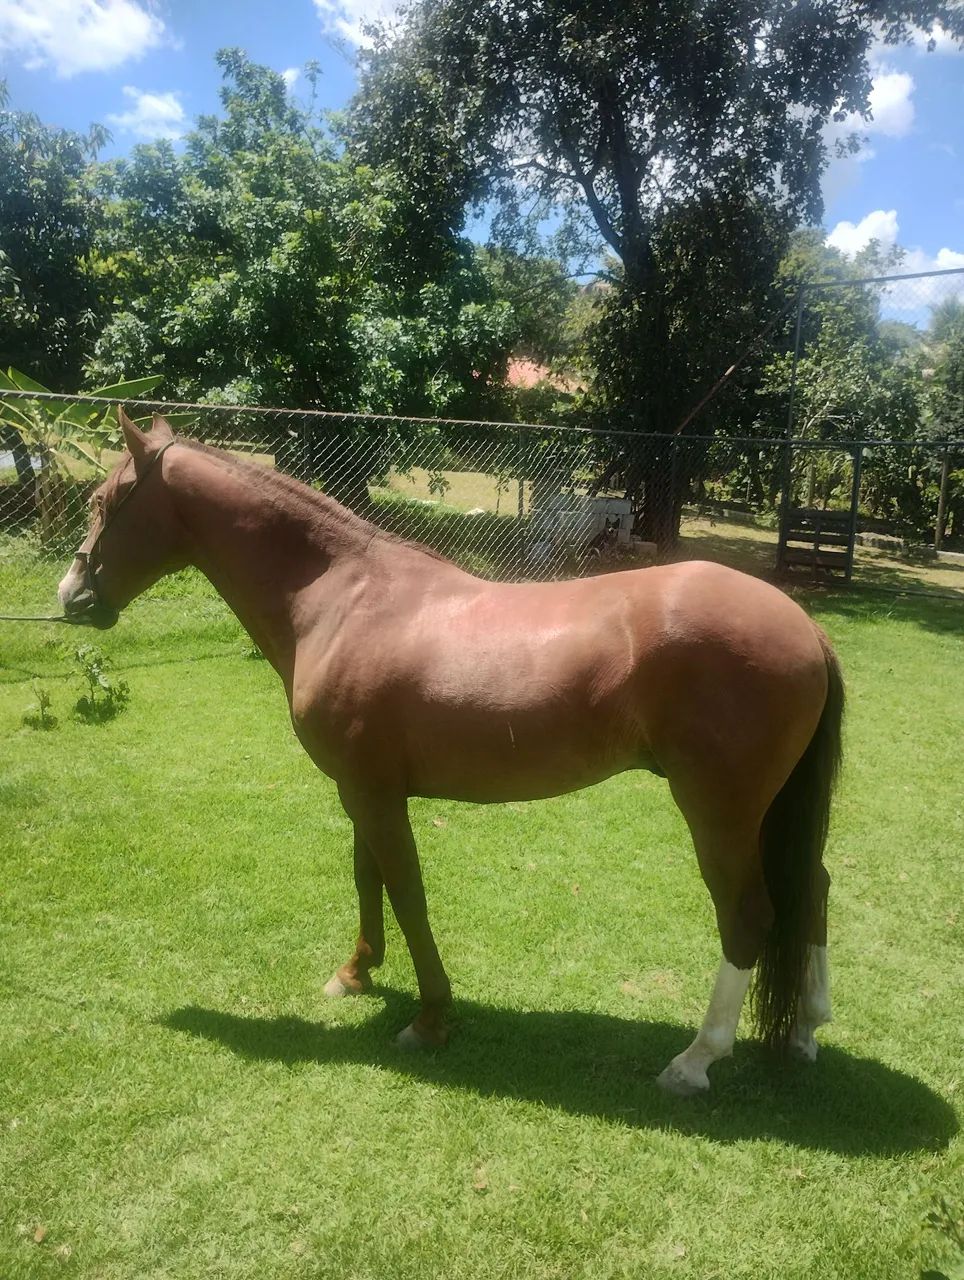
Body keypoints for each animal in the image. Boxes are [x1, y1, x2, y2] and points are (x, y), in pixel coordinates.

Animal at [58, 412, 843, 1096]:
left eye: (101, 501)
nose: (71, 596)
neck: (342, 599)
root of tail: (805, 626)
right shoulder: (363, 787)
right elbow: (367, 877)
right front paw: (355, 973)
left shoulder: (374, 792)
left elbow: (406, 891)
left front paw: (431, 1017)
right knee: (814, 890)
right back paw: (806, 1031)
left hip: (720, 813)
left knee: (748, 915)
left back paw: (696, 1060)